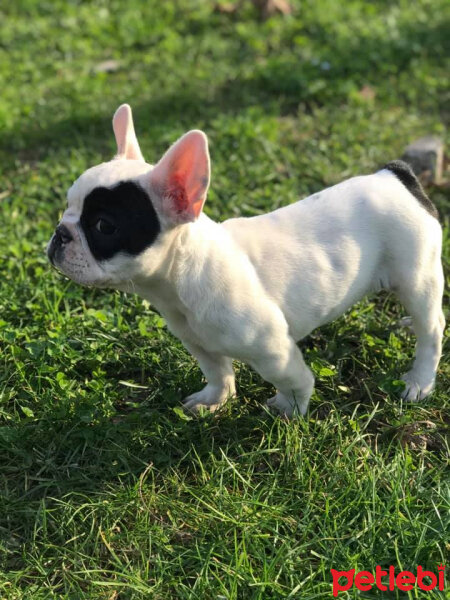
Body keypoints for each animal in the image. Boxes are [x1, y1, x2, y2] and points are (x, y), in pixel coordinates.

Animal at [47, 104, 444, 418]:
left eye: (104, 226)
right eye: (67, 206)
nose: (59, 234)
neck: (178, 280)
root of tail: (395, 175)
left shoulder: (273, 350)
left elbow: (294, 380)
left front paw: (290, 409)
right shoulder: (198, 343)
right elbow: (218, 372)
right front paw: (214, 400)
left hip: (416, 275)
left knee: (433, 328)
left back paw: (419, 381)